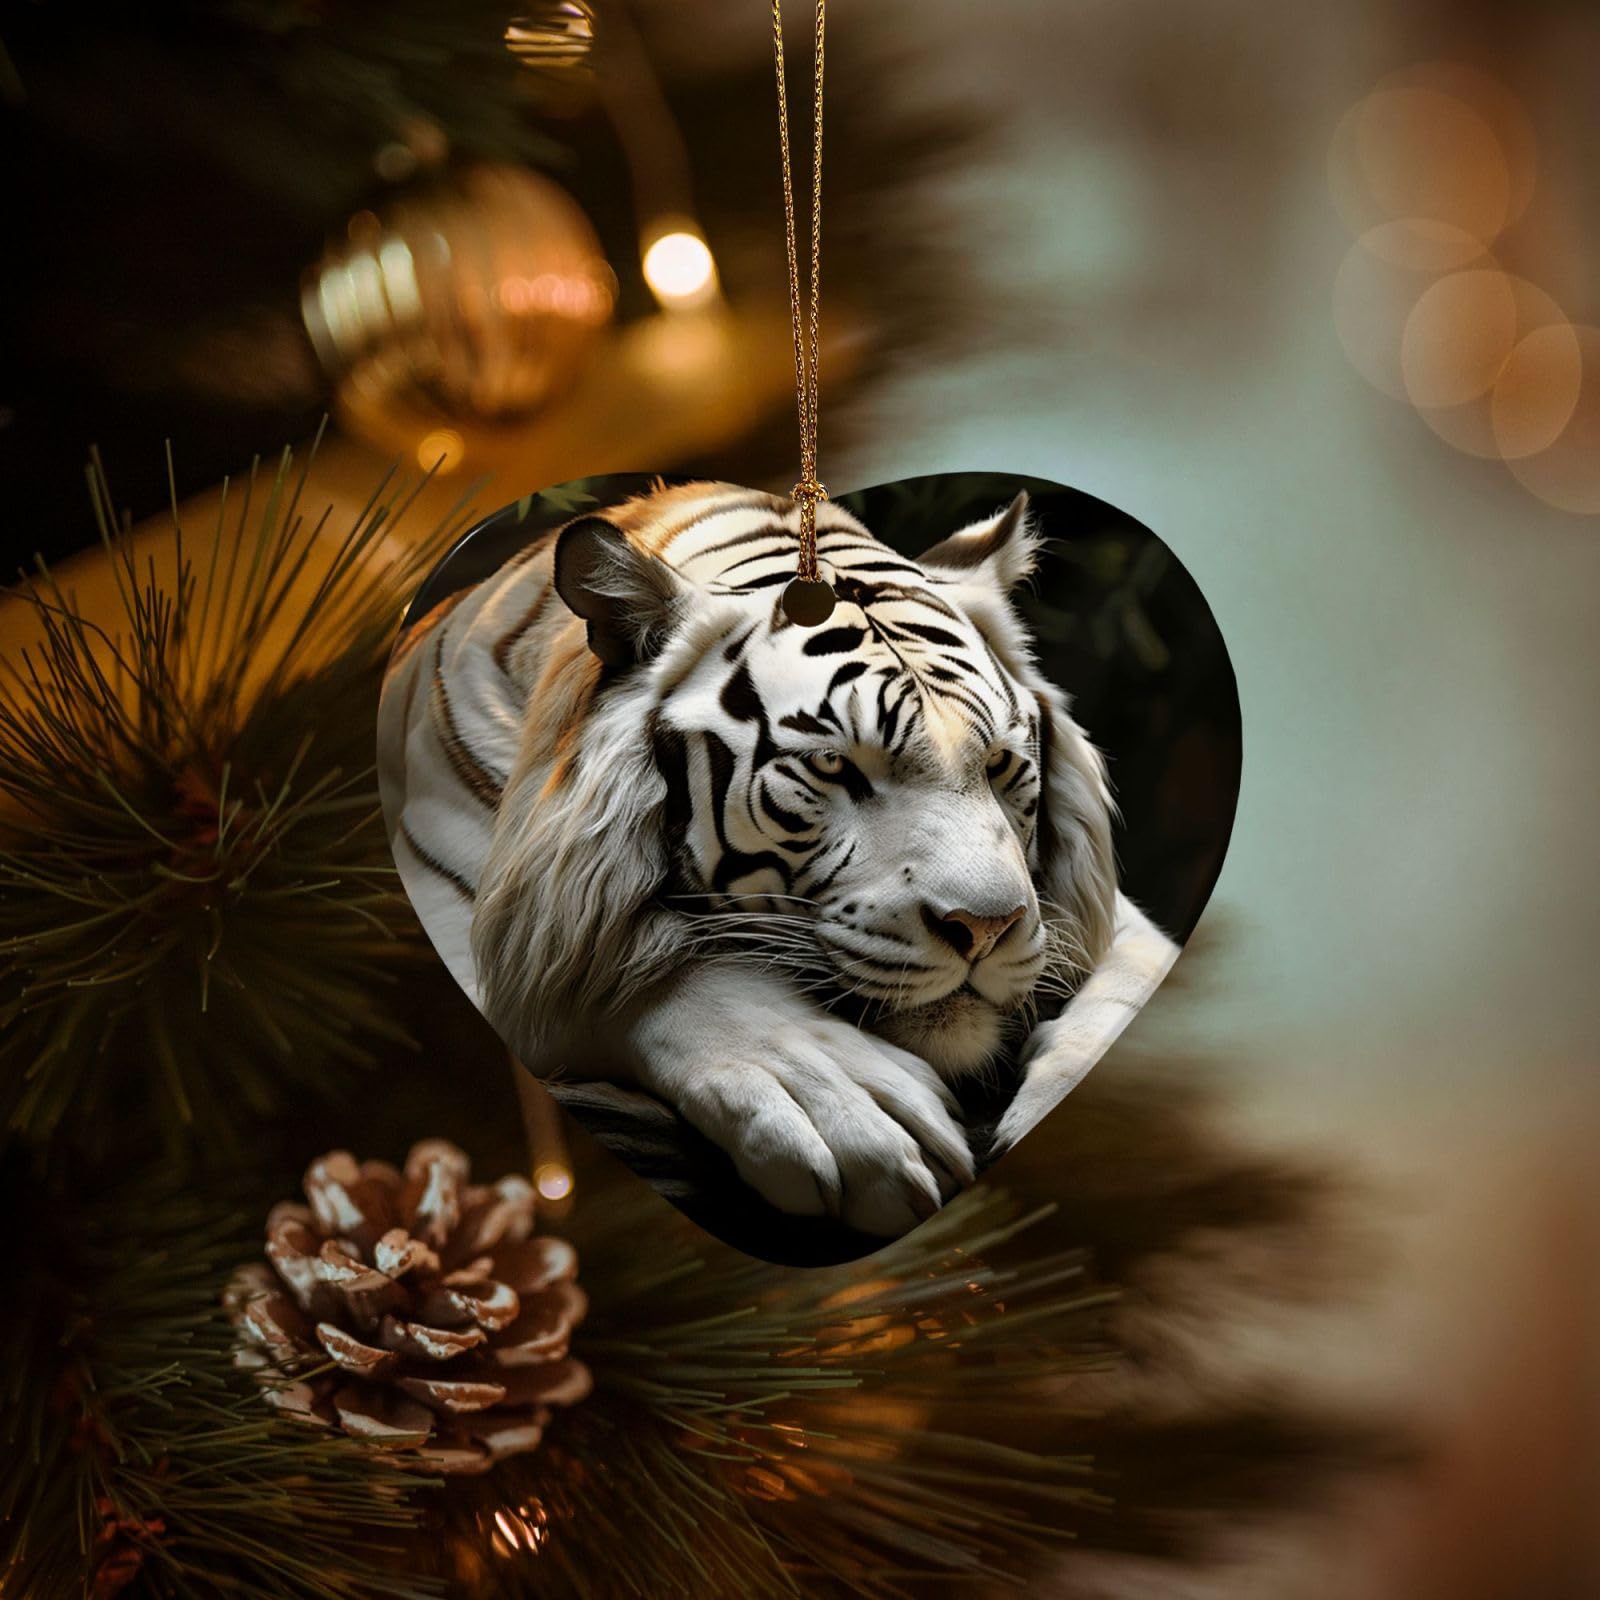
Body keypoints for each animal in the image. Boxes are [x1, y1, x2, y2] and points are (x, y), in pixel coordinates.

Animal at [377, 480, 1178, 1237]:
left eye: (998, 764)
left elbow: (1136, 973)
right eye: (832, 765)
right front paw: (846, 1108)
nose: (987, 928)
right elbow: (630, 977)